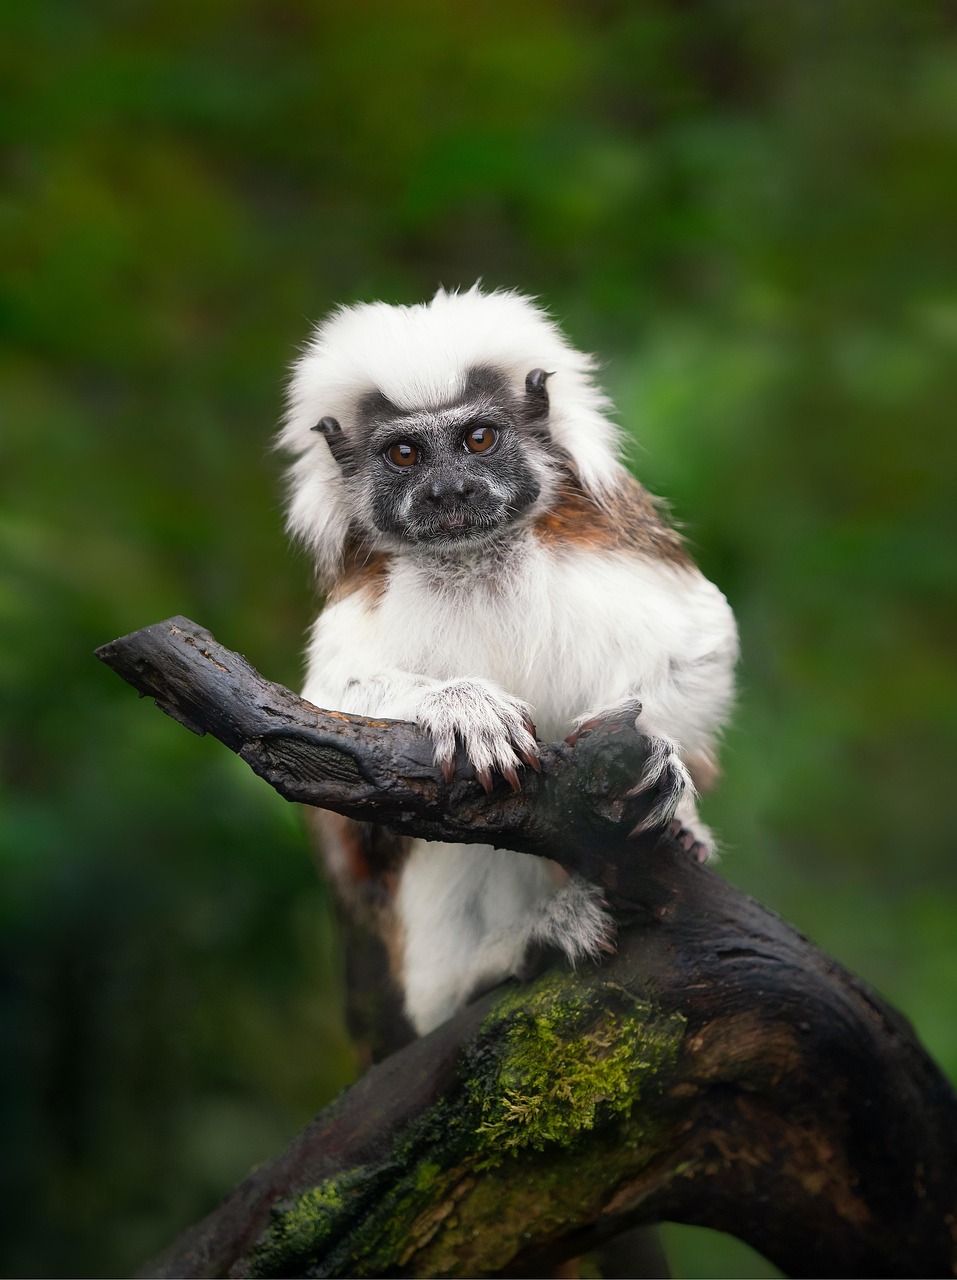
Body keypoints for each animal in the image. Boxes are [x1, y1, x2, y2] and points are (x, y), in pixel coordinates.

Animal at [276, 285, 742, 1034]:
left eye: (478, 440)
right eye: (404, 454)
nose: (449, 492)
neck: (475, 559)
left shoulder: (600, 540)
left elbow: (698, 636)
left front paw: (658, 757)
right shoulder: (370, 590)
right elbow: (318, 709)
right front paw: (465, 708)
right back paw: (490, 964)